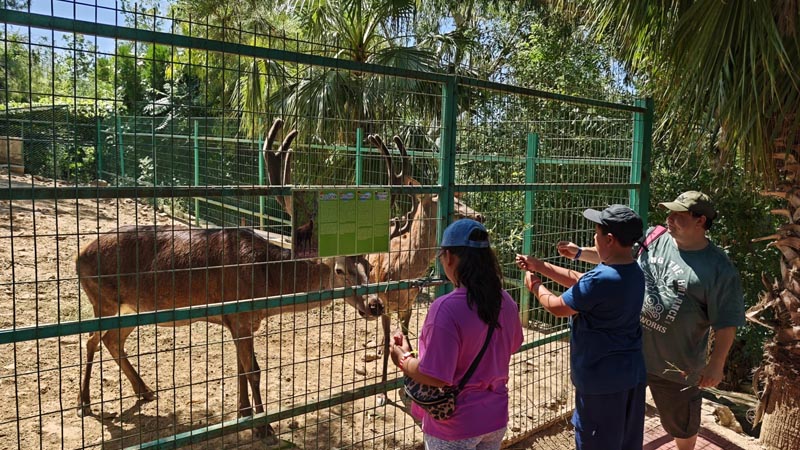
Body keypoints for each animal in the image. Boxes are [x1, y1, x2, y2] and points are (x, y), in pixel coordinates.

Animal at [76, 121, 384, 441]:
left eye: (370, 265)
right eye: (339, 270)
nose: (375, 305)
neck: (265, 282)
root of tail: (78, 255)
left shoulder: (238, 321)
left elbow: (241, 370)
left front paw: (243, 413)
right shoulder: (240, 315)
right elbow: (254, 371)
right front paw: (263, 426)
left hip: (132, 308)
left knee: (111, 340)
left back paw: (144, 390)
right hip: (102, 300)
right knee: (90, 339)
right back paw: (84, 403)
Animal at [365, 134, 484, 402]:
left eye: (461, 197)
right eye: (447, 202)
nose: (479, 215)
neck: (403, 272)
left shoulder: (409, 304)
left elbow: (407, 336)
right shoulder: (385, 303)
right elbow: (387, 340)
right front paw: (382, 393)